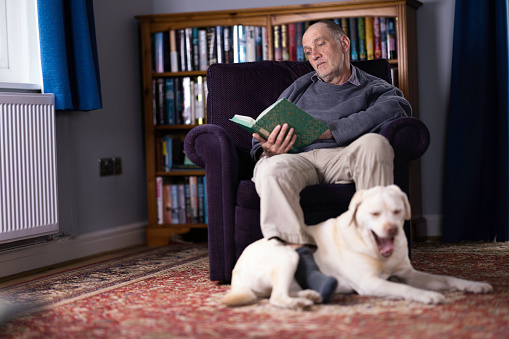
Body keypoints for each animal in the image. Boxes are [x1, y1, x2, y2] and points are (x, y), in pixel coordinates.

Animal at [222, 186, 492, 310]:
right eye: (374, 214)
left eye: (397, 211)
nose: (392, 230)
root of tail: (235, 268)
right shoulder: (370, 282)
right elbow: (404, 289)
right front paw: (427, 296)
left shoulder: (409, 273)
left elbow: (447, 279)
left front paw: (475, 285)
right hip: (287, 255)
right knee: (276, 297)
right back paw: (302, 302)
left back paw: (310, 295)